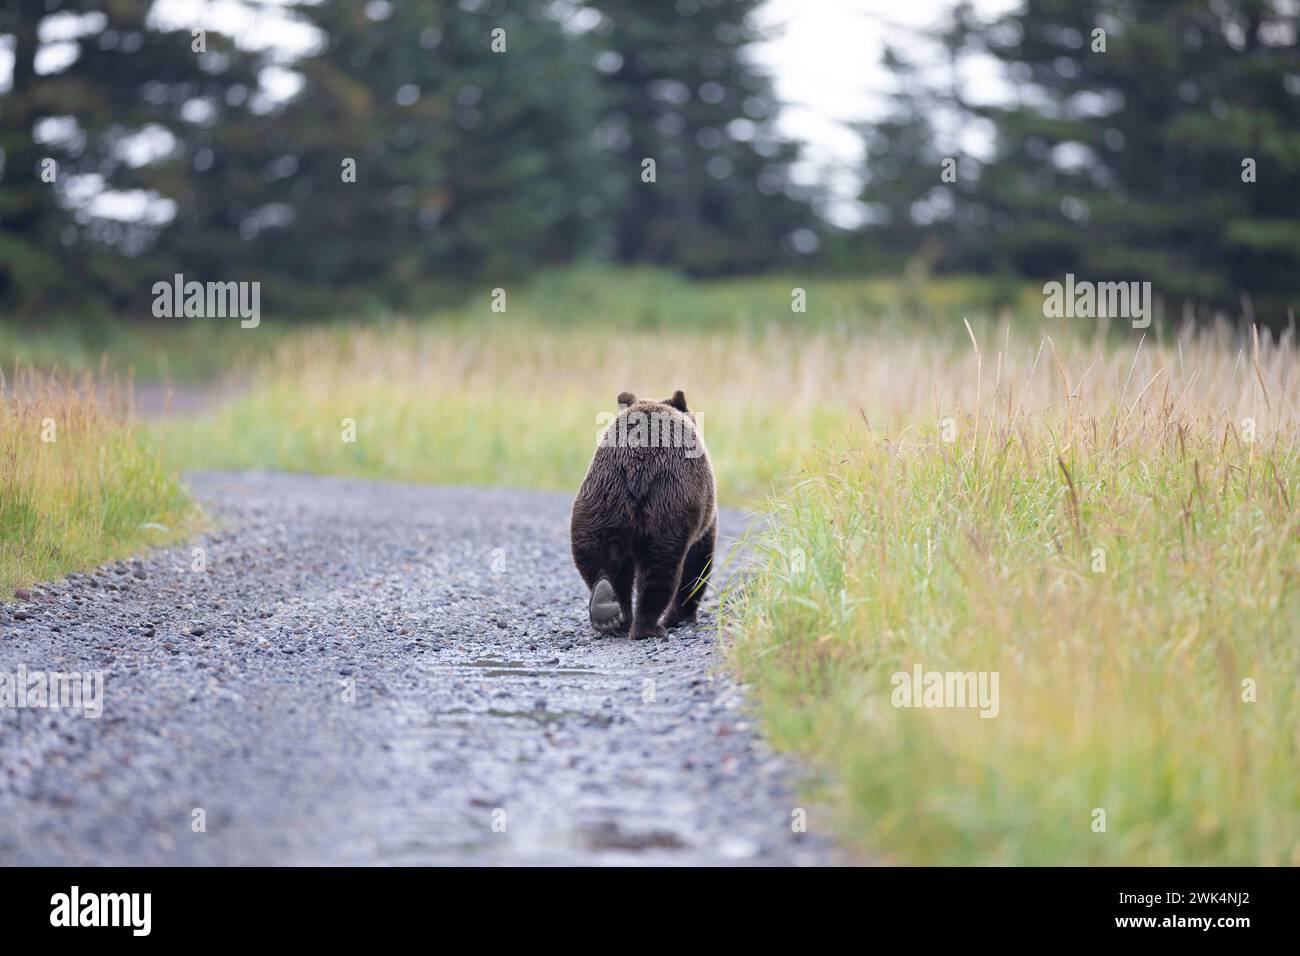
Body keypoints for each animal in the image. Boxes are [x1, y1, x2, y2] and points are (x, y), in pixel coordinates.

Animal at [571, 390, 717, 640]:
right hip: (669, 503)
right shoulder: (704, 517)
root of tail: (638, 465)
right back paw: (648, 626)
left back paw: (608, 612)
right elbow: (697, 562)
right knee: (661, 565)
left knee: (595, 551)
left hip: (602, 497)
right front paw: (680, 617)